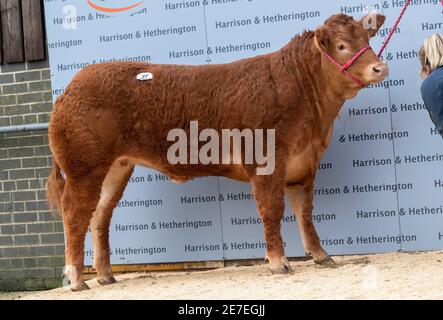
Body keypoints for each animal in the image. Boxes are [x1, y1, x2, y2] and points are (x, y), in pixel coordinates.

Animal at [46, 13, 390, 292]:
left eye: (366, 38)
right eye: (342, 46)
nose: (380, 68)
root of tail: (71, 88)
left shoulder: (304, 165)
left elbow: (305, 213)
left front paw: (320, 255)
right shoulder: (265, 160)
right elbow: (272, 210)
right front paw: (279, 262)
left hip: (115, 168)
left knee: (99, 216)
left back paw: (106, 275)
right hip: (84, 167)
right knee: (75, 214)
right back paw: (77, 279)